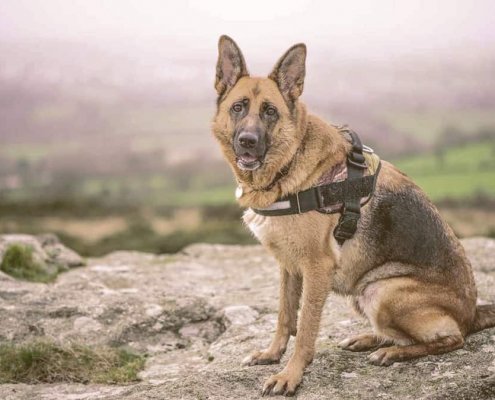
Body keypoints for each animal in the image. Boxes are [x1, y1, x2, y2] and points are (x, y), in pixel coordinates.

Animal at [210, 35, 495, 396]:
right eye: (238, 107)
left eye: (269, 111)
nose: (247, 142)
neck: (291, 162)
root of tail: (472, 313)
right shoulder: (289, 266)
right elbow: (285, 316)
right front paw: (272, 354)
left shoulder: (316, 269)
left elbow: (305, 328)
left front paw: (290, 375)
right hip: (364, 293)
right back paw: (369, 339)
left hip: (382, 292)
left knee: (450, 338)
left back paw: (391, 352)